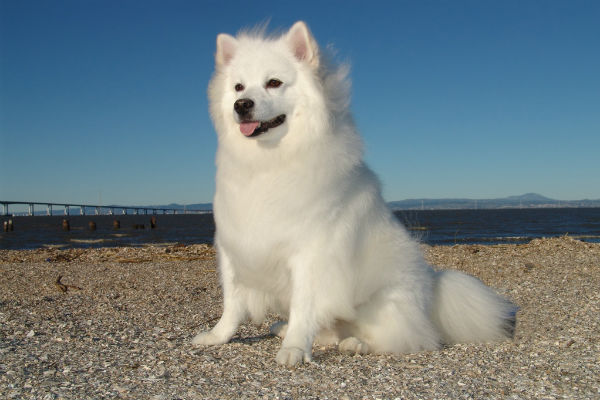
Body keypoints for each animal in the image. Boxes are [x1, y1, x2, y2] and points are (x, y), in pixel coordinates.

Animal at [193, 21, 516, 366]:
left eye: (274, 83)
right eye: (238, 87)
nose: (241, 105)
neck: (268, 163)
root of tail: (432, 295)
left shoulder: (311, 255)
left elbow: (303, 307)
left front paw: (294, 349)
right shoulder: (234, 247)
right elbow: (232, 305)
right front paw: (217, 337)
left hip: (382, 304)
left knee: (405, 338)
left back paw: (356, 343)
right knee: (330, 331)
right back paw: (286, 328)